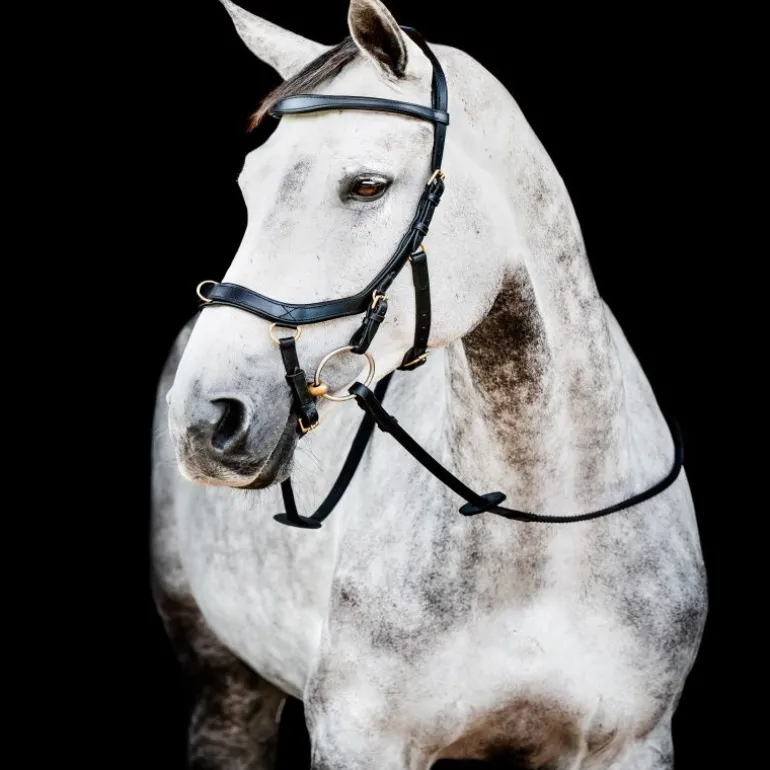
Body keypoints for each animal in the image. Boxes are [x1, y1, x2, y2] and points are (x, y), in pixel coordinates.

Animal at [150, 1, 708, 767]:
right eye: (248, 187)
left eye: (367, 185)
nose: (207, 418)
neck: (541, 531)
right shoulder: (359, 738)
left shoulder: (631, 744)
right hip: (224, 685)